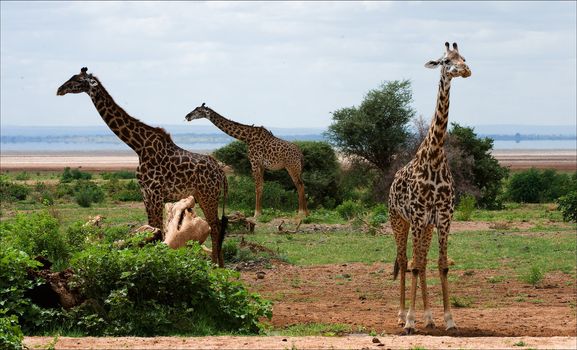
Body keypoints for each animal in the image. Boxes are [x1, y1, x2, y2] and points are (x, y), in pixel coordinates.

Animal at [57, 67, 228, 266]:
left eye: (78, 80)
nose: (59, 89)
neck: (139, 146)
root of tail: (221, 172)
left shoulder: (155, 194)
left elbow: (158, 230)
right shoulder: (145, 194)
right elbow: (152, 229)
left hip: (209, 196)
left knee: (215, 226)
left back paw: (215, 265)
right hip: (203, 196)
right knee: (216, 225)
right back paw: (220, 264)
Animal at [384, 42, 470, 334]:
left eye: (463, 57)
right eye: (445, 61)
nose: (465, 70)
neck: (434, 155)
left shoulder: (443, 218)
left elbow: (441, 265)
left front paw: (449, 320)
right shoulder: (419, 217)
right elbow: (415, 264)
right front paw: (410, 321)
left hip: (426, 227)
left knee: (419, 261)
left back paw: (429, 317)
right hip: (399, 221)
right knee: (404, 260)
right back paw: (401, 316)